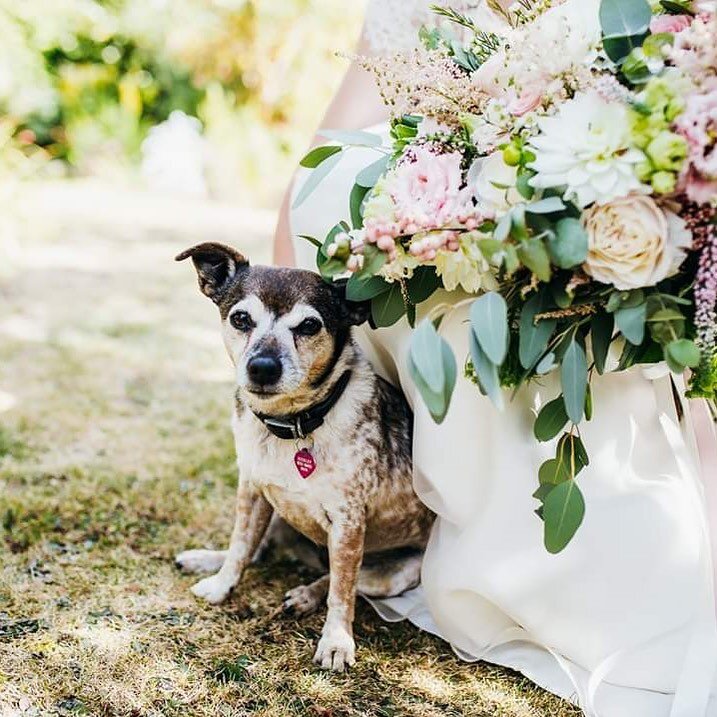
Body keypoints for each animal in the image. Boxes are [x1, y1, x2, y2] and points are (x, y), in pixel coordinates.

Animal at [174, 245, 434, 672]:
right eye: (240, 318)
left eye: (309, 326)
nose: (262, 367)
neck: (292, 424)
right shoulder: (252, 491)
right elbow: (241, 545)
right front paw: (221, 584)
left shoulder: (348, 523)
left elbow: (342, 591)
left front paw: (336, 642)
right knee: (259, 548)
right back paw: (205, 559)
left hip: (396, 573)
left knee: (346, 581)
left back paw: (306, 595)